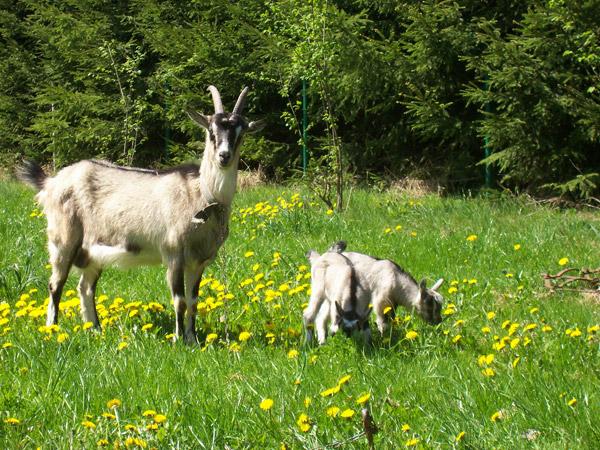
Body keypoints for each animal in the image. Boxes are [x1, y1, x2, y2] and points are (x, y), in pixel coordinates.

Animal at [17, 85, 262, 344]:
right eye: (211, 132)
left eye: (241, 134)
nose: (224, 156)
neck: (202, 195)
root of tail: (51, 182)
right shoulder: (173, 254)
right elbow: (180, 301)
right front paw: (178, 341)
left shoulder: (198, 261)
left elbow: (194, 301)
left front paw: (193, 339)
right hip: (63, 238)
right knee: (55, 284)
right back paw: (52, 329)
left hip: (92, 249)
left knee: (85, 286)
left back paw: (95, 329)